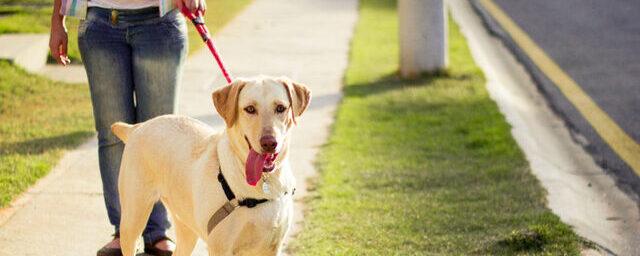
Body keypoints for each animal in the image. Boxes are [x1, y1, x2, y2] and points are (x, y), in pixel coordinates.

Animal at [112, 76, 312, 256]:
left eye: (280, 108)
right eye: (250, 109)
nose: (269, 143)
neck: (264, 182)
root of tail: (137, 127)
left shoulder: (272, 248)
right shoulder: (220, 249)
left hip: (186, 227)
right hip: (132, 220)